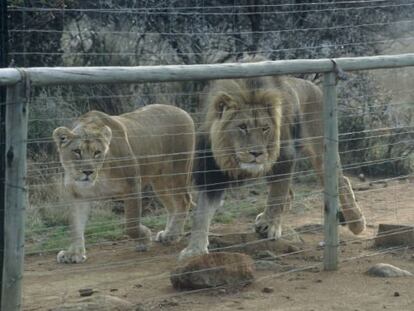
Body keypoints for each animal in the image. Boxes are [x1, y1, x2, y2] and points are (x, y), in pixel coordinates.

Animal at [53, 104, 196, 264]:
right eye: (77, 151)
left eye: (97, 152)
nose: (88, 172)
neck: (100, 173)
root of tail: (181, 110)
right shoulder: (78, 195)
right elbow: (76, 226)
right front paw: (74, 254)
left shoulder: (132, 184)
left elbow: (131, 225)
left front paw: (144, 238)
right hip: (160, 182)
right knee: (173, 206)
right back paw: (168, 234)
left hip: (176, 172)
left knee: (184, 201)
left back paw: (172, 235)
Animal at [180, 57, 366, 260]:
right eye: (242, 127)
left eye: (265, 128)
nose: (257, 153)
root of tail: (313, 86)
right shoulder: (212, 170)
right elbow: (202, 212)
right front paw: (195, 249)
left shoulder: (284, 155)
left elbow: (277, 193)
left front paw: (271, 225)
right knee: (291, 194)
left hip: (321, 152)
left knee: (341, 181)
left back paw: (356, 222)